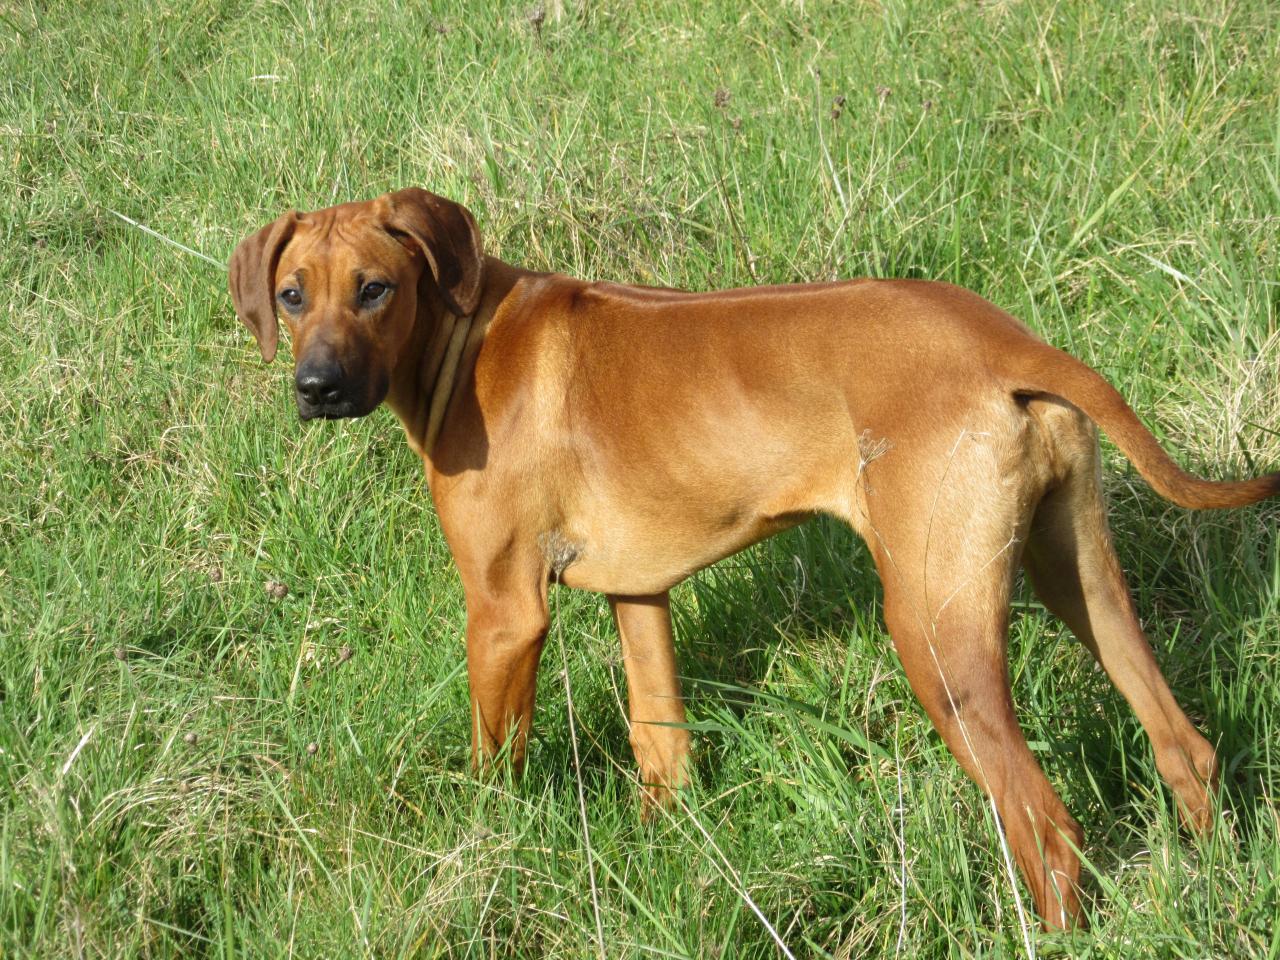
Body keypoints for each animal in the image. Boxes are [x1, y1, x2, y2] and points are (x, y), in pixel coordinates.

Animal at [230, 188, 1280, 931]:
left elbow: (497, 767)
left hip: (933, 633)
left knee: (1050, 832)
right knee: (1182, 747)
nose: (315, 387)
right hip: (1079, 576)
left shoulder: (503, 614)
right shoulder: (639, 594)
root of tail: (1009, 345)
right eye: (292, 296)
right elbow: (662, 747)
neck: (468, 334)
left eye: (375, 288)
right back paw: (1213, 884)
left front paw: (489, 859)